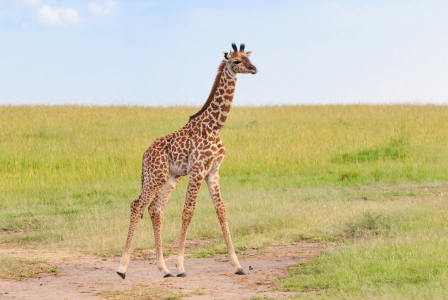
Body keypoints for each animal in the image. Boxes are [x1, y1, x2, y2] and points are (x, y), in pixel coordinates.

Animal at [117, 42, 258, 278]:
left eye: (248, 59)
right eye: (237, 61)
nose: (254, 68)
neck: (214, 127)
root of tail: (144, 155)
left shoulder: (213, 172)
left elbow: (221, 211)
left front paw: (237, 265)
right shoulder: (197, 170)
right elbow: (188, 211)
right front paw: (181, 266)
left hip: (170, 179)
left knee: (155, 209)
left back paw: (163, 269)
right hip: (156, 176)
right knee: (136, 205)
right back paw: (122, 268)